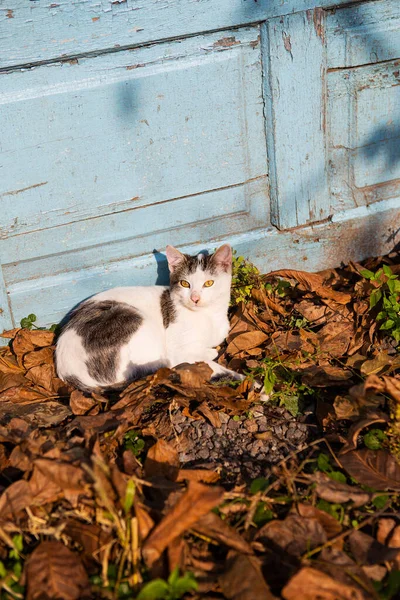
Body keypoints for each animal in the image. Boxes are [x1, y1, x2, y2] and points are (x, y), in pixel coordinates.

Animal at [55, 245, 242, 394]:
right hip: (135, 322)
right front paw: (215, 357)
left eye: (209, 283)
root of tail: (68, 371)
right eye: (185, 284)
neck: (209, 315)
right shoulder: (177, 350)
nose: (195, 298)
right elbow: (193, 357)